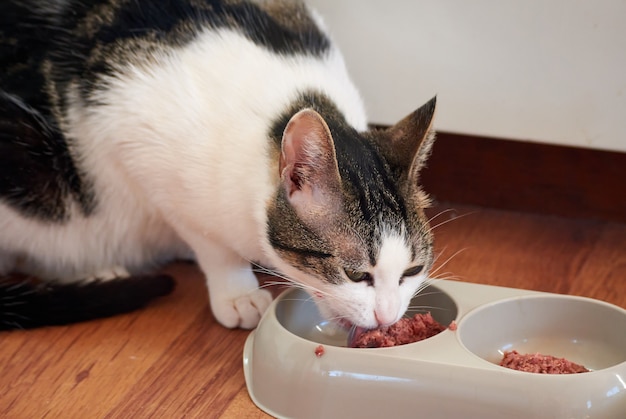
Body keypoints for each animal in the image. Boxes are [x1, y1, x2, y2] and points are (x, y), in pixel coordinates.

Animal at [0, 0, 436, 334]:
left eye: (412, 270)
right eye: (356, 275)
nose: (387, 318)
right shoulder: (134, 143)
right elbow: (209, 238)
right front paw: (236, 289)